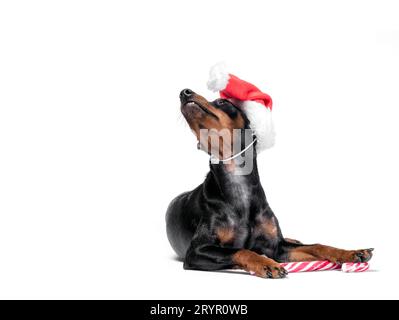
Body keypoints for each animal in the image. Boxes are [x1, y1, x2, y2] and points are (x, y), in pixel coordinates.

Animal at [165, 88, 372, 278]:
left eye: (222, 102)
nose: (184, 92)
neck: (238, 183)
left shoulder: (277, 248)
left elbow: (317, 246)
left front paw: (351, 253)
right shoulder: (196, 252)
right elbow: (242, 250)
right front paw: (266, 264)